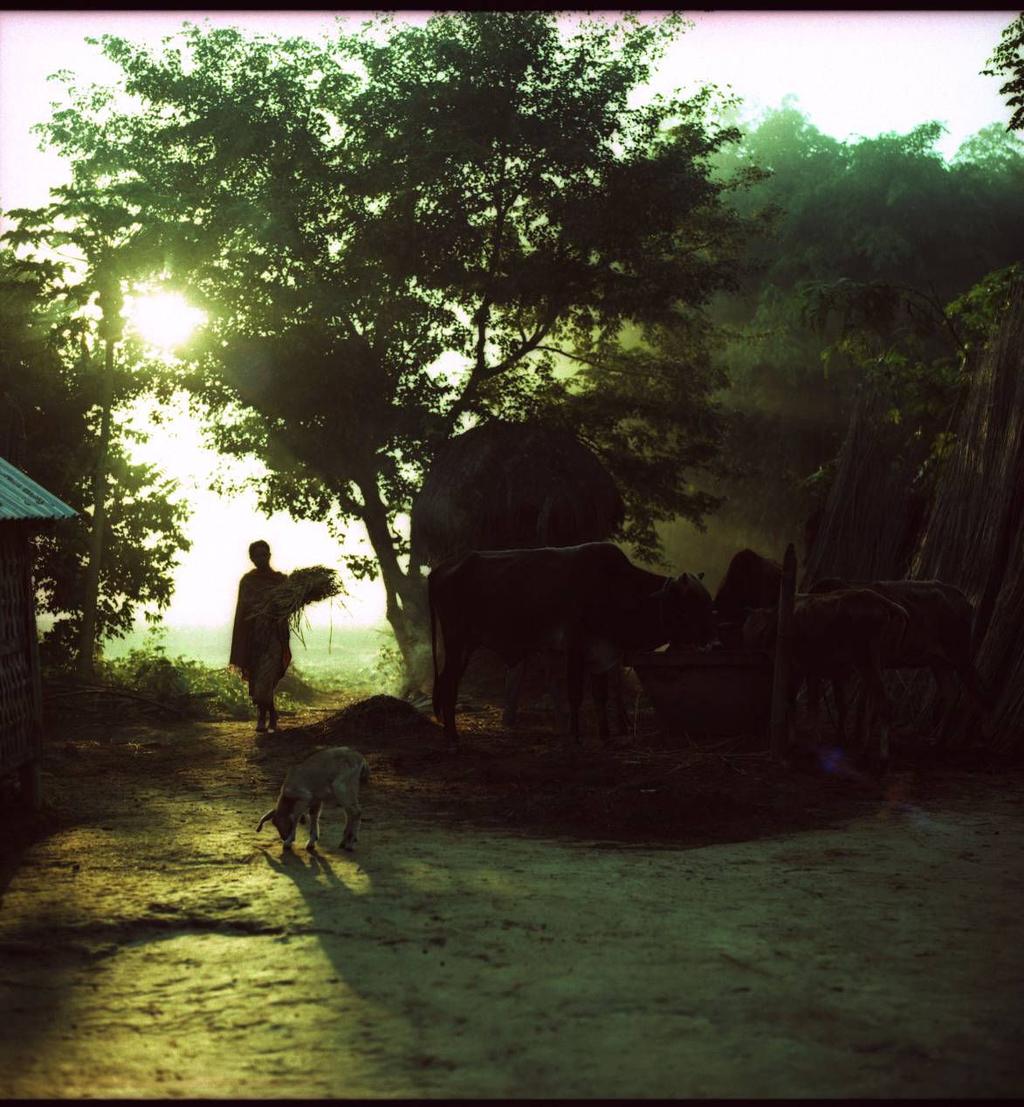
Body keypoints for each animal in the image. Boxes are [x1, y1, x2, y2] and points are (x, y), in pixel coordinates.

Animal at [427, 540, 717, 748]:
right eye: (688, 605)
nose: (710, 636)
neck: (614, 588)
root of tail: (442, 567)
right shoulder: (575, 648)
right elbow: (575, 695)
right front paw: (576, 737)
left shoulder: (602, 653)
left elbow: (600, 696)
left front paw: (606, 735)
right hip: (456, 641)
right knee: (449, 683)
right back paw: (452, 737)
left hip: (465, 647)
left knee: (448, 682)